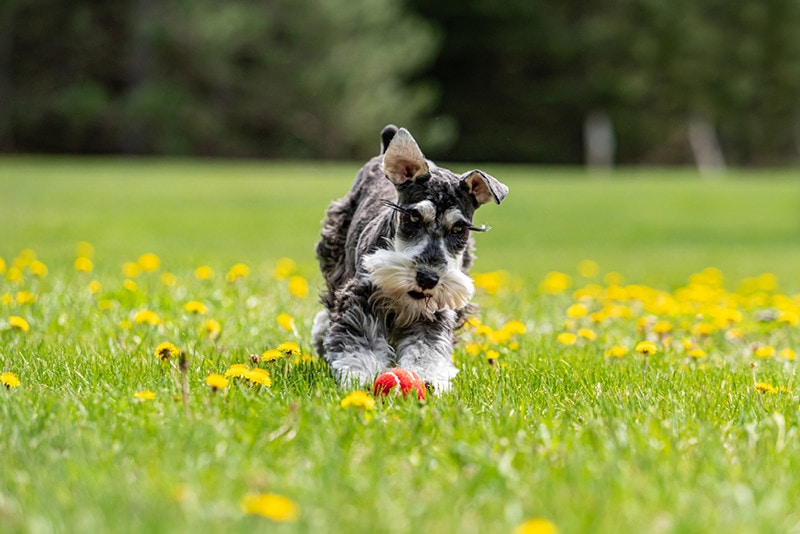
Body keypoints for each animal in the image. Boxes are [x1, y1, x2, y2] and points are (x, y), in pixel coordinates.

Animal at [310, 125, 506, 394]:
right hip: (334, 251)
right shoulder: (361, 299)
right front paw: (360, 376)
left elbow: (427, 348)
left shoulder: (435, 313)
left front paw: (429, 378)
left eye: (459, 229)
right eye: (413, 217)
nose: (428, 278)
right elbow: (360, 342)